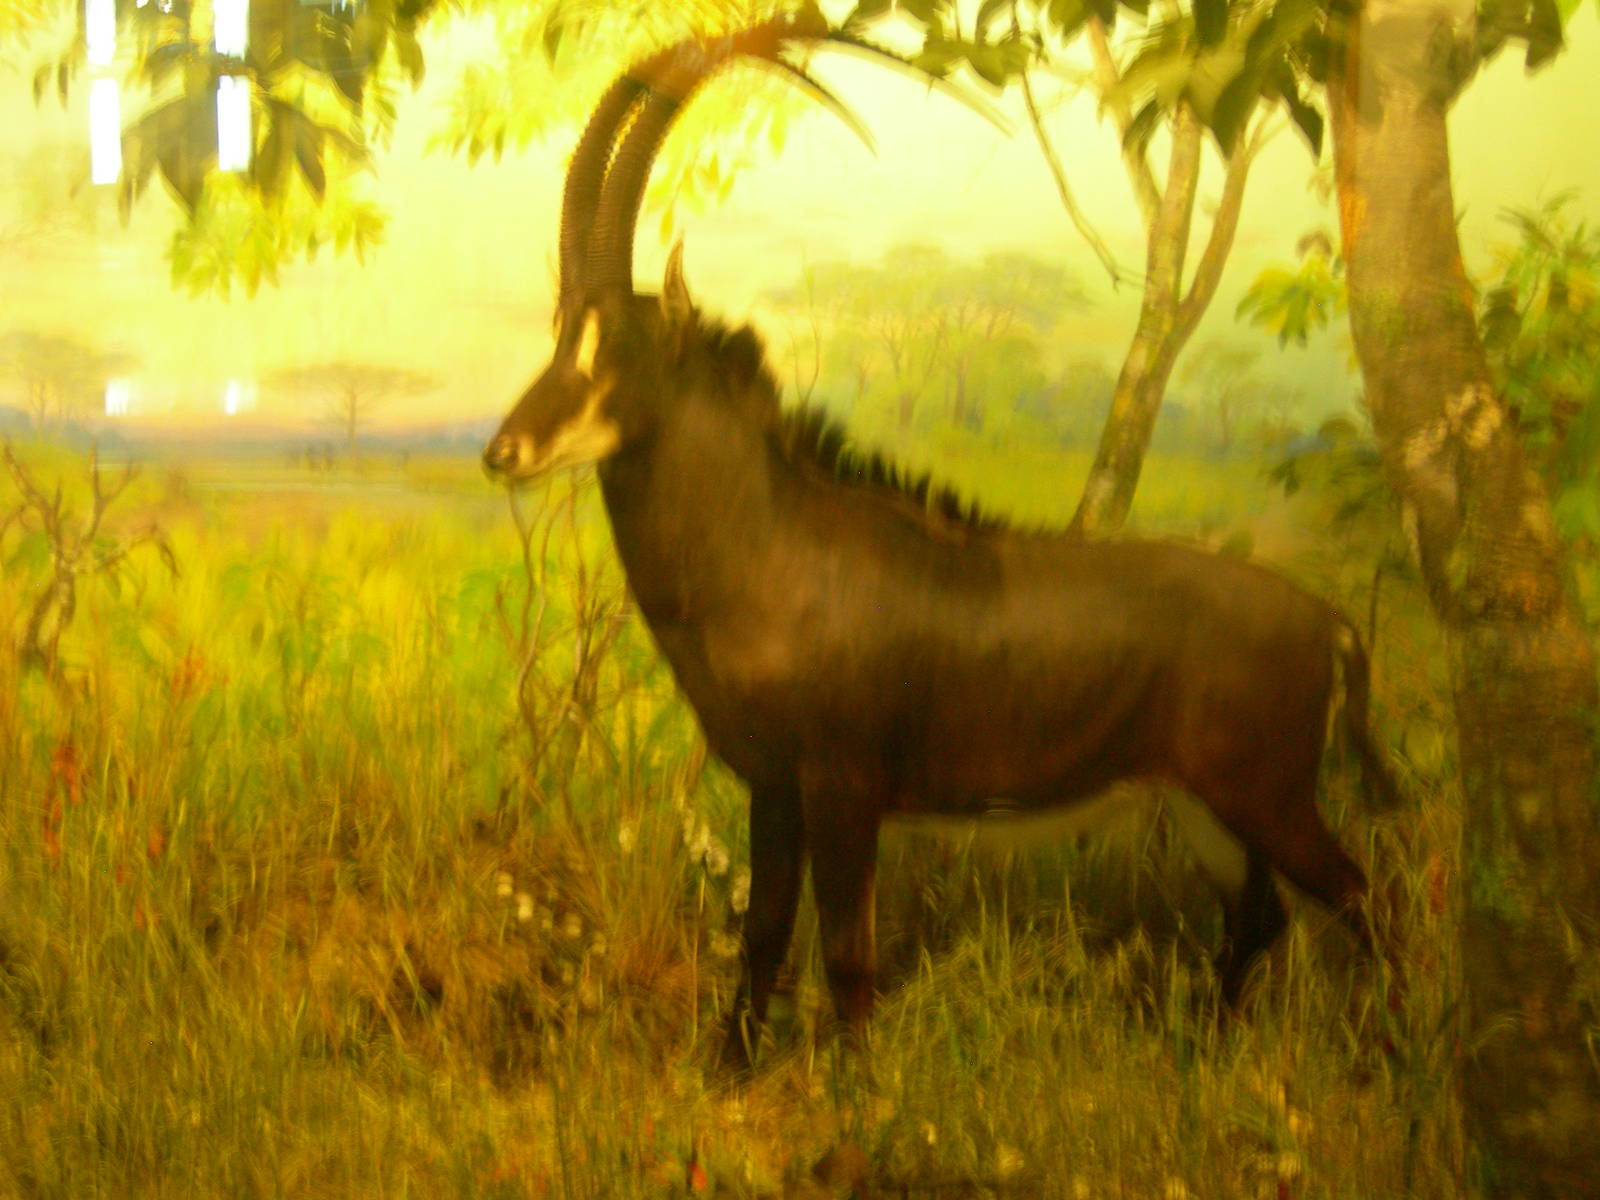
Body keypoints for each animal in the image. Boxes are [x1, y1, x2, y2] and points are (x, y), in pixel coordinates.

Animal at [482, 15, 1400, 1074]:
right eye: (560, 332)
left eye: (618, 345)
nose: (504, 452)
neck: (770, 544)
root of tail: (1329, 622)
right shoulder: (773, 786)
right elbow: (763, 933)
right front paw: (731, 1069)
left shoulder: (841, 785)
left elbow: (847, 954)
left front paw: (855, 1090)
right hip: (1205, 804)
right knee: (1260, 917)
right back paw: (1205, 1055)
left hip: (1270, 798)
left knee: (1364, 901)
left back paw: (1395, 1056)